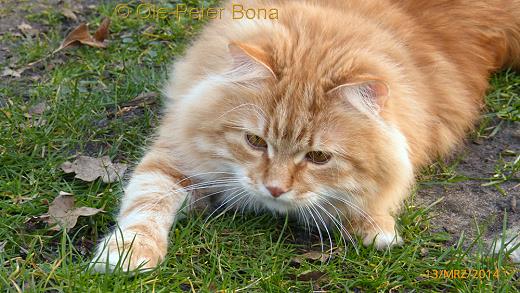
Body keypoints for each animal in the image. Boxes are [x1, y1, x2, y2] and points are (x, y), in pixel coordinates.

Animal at [90, 0, 520, 270]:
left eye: (318, 158)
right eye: (255, 142)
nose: (274, 189)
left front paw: (375, 228)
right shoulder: (175, 156)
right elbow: (145, 206)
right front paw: (125, 256)